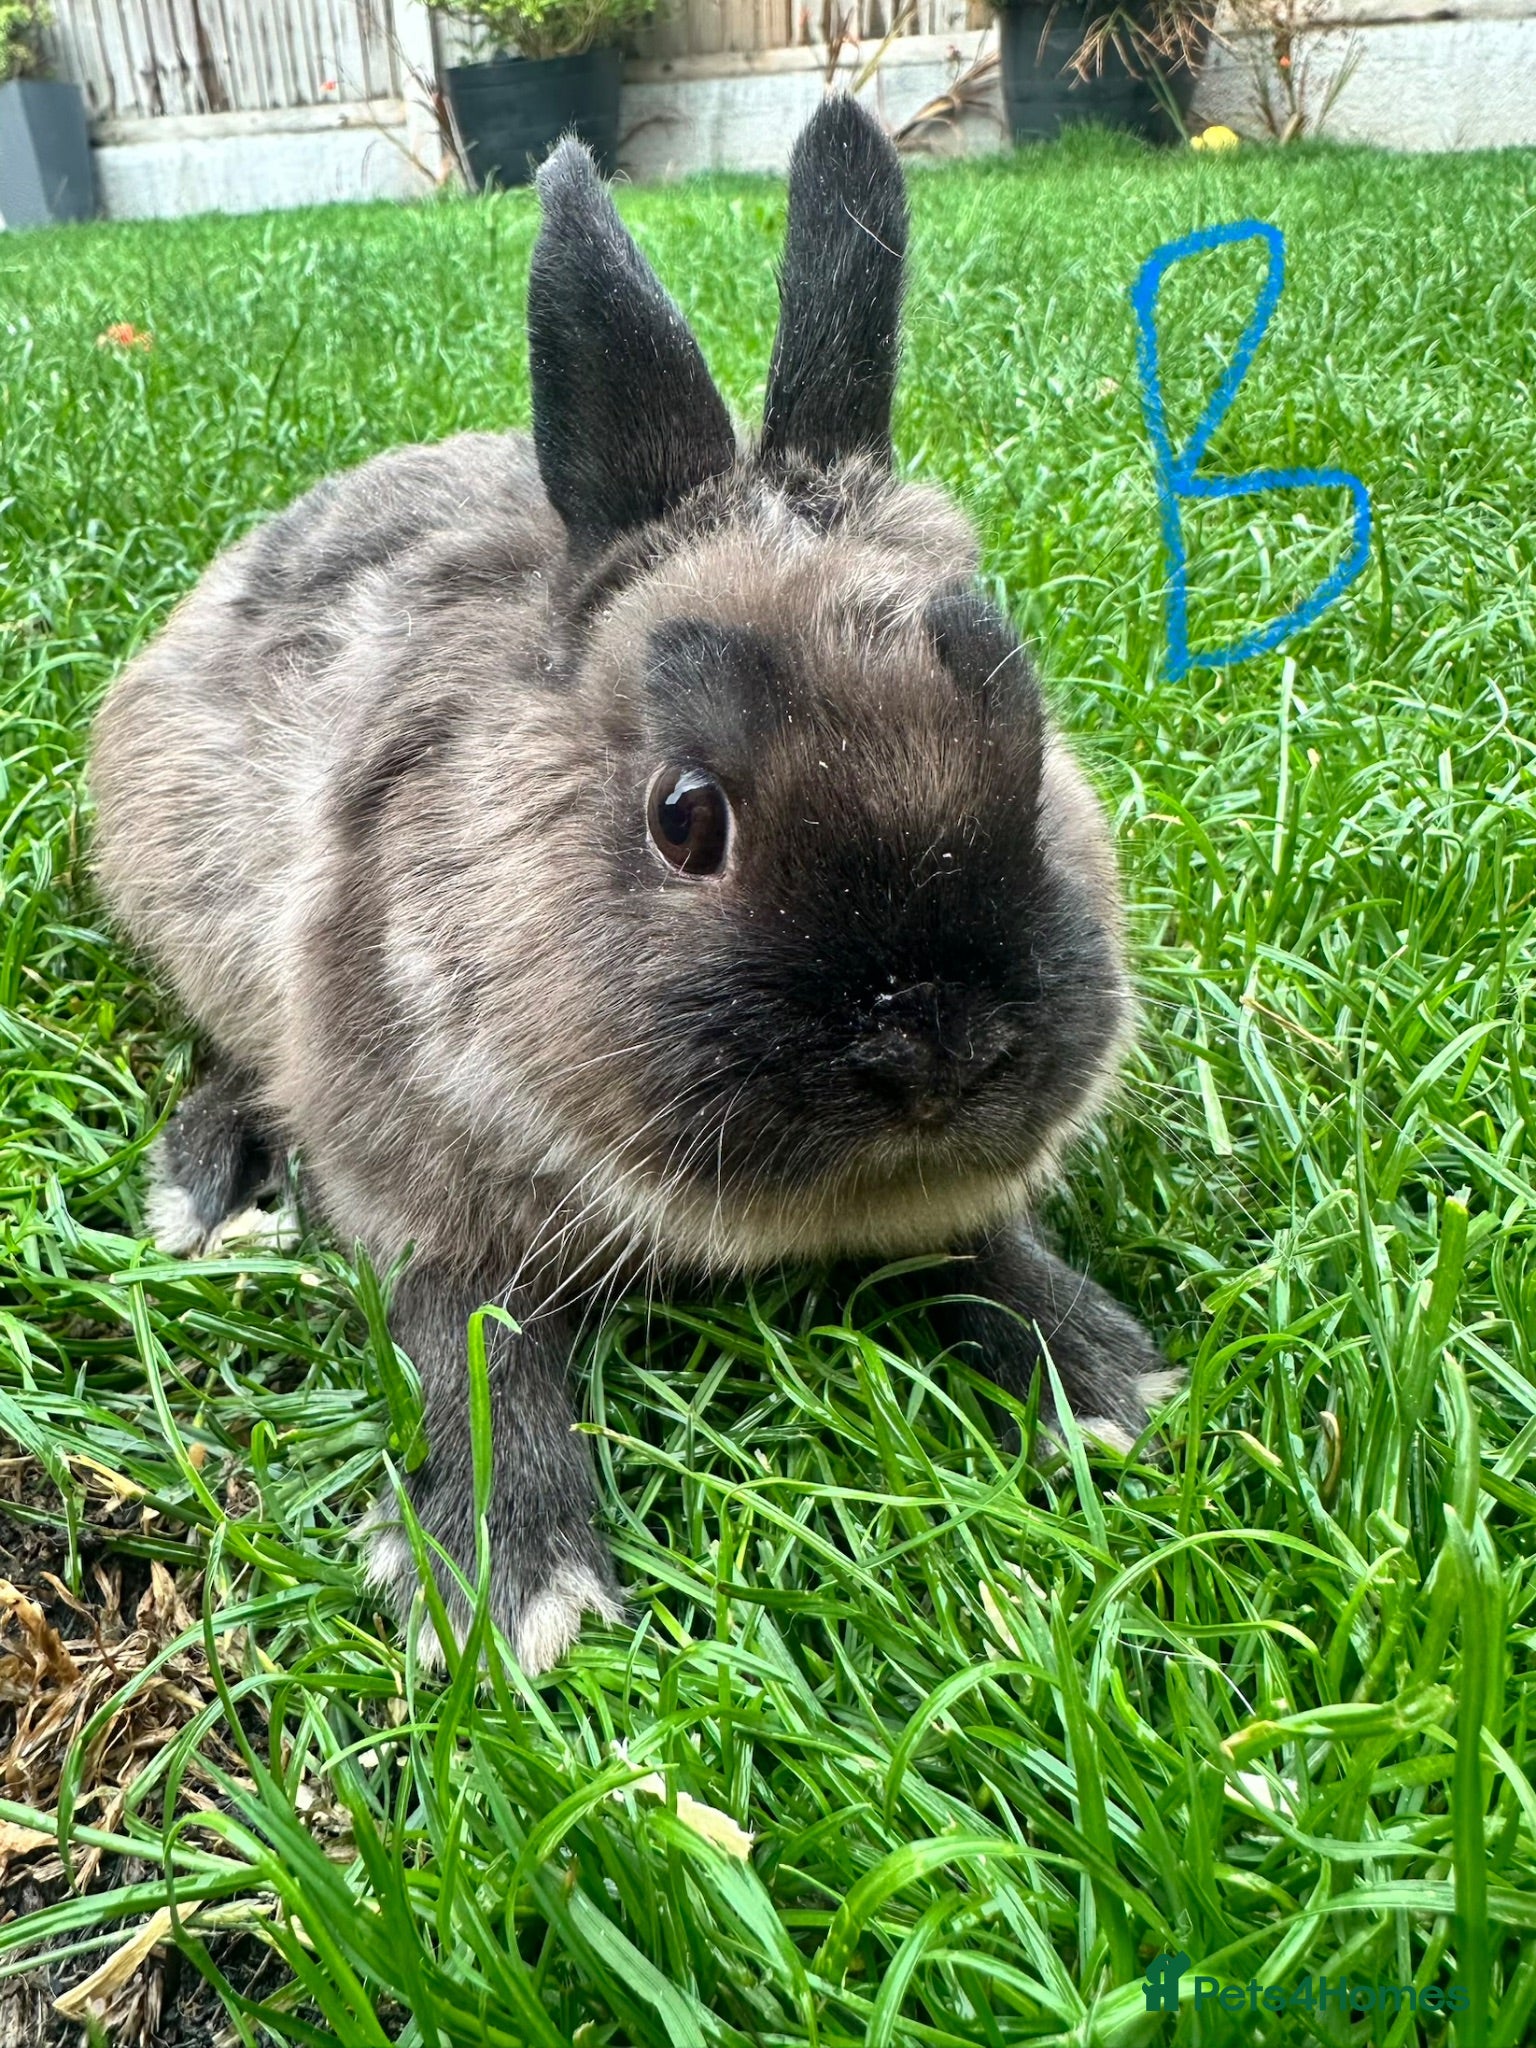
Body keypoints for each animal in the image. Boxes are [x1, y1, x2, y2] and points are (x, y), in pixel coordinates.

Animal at [88, 95, 1173, 1677]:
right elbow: (471, 1341)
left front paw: (1109, 1386)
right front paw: (503, 1583)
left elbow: (990, 1240)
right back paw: (211, 1182)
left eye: (1029, 741)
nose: (939, 1044)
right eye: (685, 817)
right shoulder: (415, 1183)